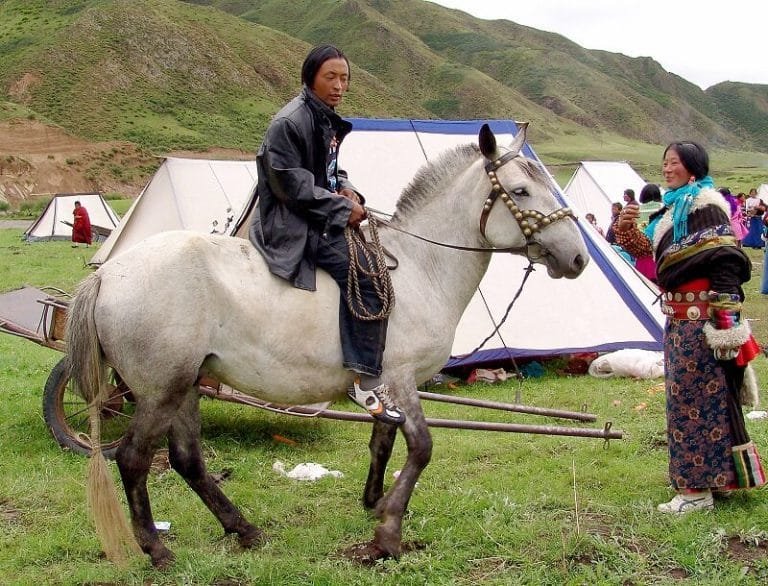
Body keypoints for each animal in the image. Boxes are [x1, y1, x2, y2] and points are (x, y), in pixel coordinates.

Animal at [66, 123, 589, 568]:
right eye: (520, 192)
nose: (578, 258)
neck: (421, 268)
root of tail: (108, 276)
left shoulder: (383, 383)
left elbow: (383, 441)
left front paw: (375, 503)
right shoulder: (401, 378)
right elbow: (421, 448)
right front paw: (388, 535)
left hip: (188, 384)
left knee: (187, 459)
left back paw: (244, 530)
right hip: (160, 391)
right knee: (134, 459)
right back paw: (157, 549)